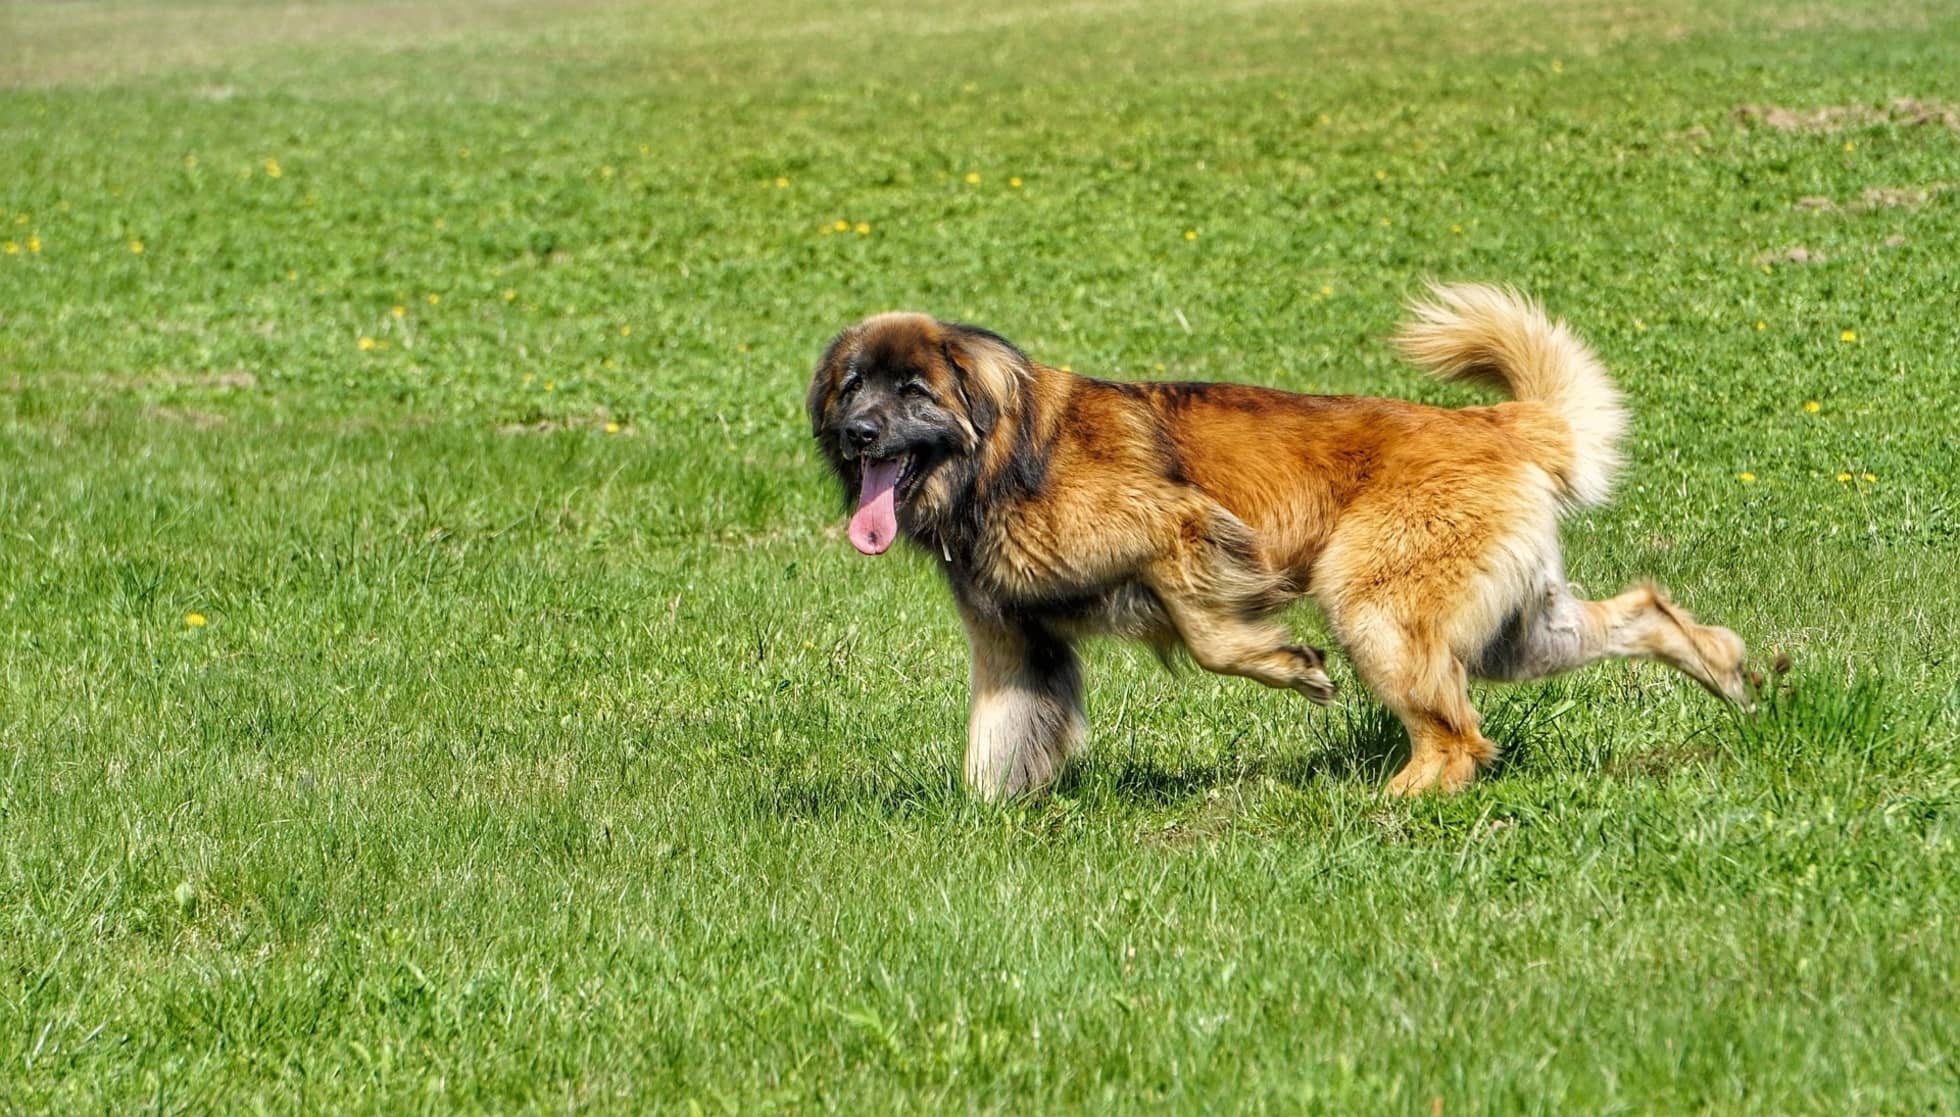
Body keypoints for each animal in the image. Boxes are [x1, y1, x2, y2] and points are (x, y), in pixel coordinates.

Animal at [803, 282, 1756, 795]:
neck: (1001, 457)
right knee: (1641, 613)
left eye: (913, 391)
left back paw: (1395, 800)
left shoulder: (1179, 525)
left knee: (1455, 735)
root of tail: (1495, 421)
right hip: (1514, 630)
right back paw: (1731, 675)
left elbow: (1211, 635)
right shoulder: (1015, 644)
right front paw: (982, 819)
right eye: (853, 385)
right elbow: (997, 744)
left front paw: (1290, 666)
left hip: (1375, 607)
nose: (856, 432)